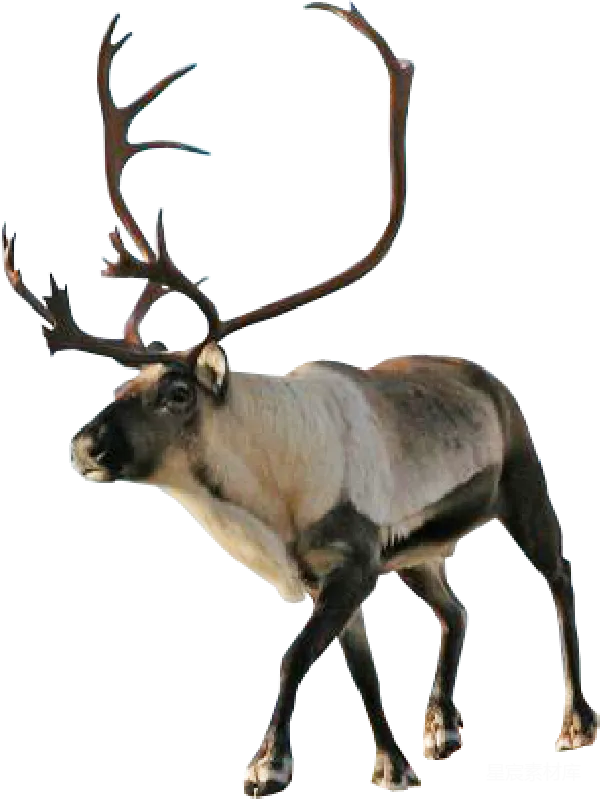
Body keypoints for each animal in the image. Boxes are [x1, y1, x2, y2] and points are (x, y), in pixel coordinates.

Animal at [2, 3, 597, 796]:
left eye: (178, 392)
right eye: (123, 384)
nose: (83, 445)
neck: (264, 492)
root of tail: (488, 379)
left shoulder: (353, 562)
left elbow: (294, 657)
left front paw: (267, 767)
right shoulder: (336, 572)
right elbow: (362, 671)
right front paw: (394, 762)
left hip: (525, 487)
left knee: (560, 580)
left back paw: (576, 724)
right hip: (418, 554)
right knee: (457, 606)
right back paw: (441, 728)